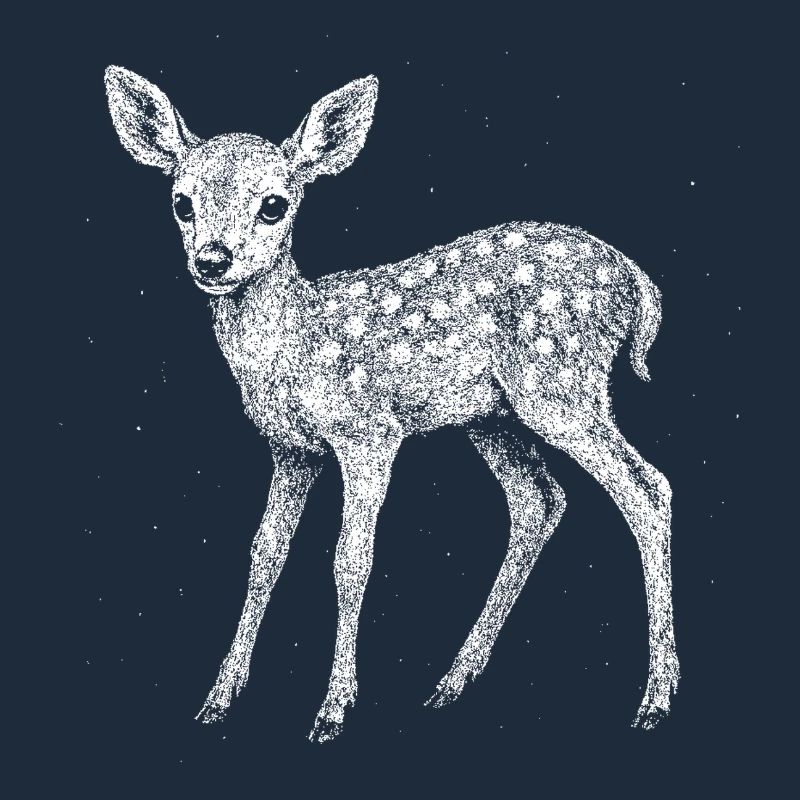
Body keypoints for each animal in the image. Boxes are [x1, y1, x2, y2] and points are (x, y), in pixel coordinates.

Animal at [104, 65, 680, 742]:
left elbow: (350, 560)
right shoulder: (291, 449)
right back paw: (453, 681)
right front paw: (219, 697)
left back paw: (657, 698)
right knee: (539, 501)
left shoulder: (369, 434)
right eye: (181, 202)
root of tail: (639, 284)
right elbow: (264, 552)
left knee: (646, 487)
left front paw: (333, 708)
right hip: (493, 416)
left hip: (562, 383)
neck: (296, 344)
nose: (213, 260)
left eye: (275, 204)